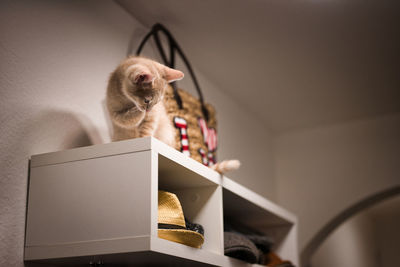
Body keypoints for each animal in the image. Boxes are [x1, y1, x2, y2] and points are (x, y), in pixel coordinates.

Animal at [105, 56, 241, 174]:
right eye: (147, 101)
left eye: (157, 102)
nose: (148, 110)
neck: (126, 99)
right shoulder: (114, 114)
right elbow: (126, 119)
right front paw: (137, 113)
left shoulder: (153, 117)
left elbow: (146, 129)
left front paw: (143, 133)